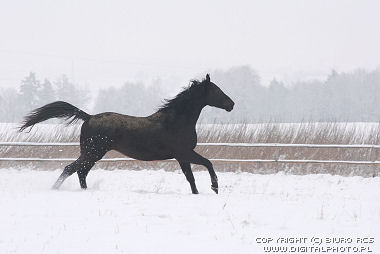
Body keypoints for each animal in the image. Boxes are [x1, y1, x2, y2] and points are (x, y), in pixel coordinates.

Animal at [21, 74, 235, 193]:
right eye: (217, 90)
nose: (231, 104)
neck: (176, 121)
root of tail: (89, 117)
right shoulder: (184, 153)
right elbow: (208, 163)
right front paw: (215, 188)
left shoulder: (182, 157)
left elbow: (191, 179)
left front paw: (199, 192)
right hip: (93, 152)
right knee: (71, 169)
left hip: (92, 154)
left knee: (81, 171)